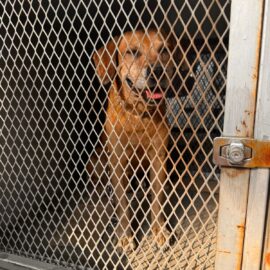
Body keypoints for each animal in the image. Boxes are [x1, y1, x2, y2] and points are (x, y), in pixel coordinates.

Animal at [92, 29, 182, 251]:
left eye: (163, 49)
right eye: (132, 52)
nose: (157, 71)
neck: (139, 114)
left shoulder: (158, 157)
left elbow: (157, 198)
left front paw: (159, 230)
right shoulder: (117, 161)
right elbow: (123, 202)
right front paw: (125, 235)